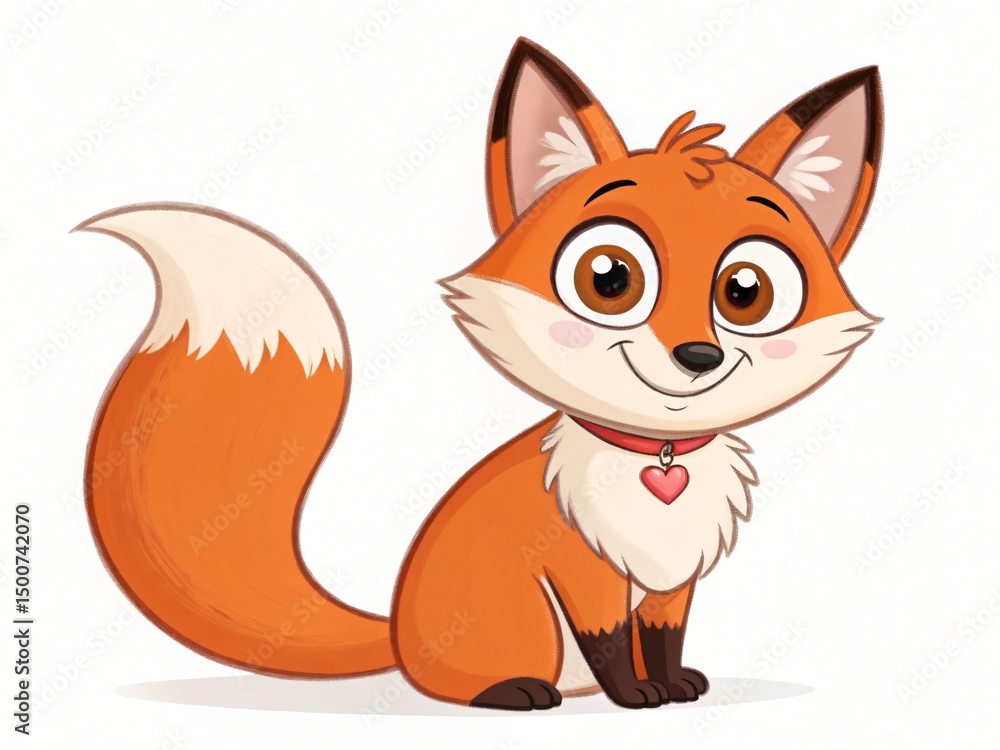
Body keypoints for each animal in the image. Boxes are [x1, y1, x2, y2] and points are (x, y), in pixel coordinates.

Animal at [77, 38, 882, 710]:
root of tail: (396, 629)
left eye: (746, 290)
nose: (699, 357)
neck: (654, 461)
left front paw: (676, 683)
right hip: (522, 626)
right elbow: (611, 644)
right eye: (609, 277)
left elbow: (662, 637)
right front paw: (636, 698)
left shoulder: (671, 579)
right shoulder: (583, 571)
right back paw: (517, 694)